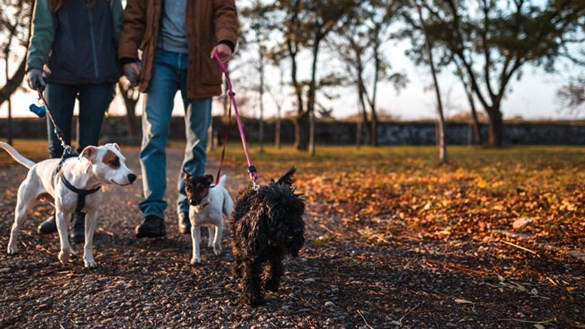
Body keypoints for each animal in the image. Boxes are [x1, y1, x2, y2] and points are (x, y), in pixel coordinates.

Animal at [0, 141, 136, 266]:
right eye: (113, 162)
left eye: (124, 161)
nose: (133, 176)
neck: (85, 183)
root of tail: (35, 166)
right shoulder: (61, 213)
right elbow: (64, 242)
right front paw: (63, 256)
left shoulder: (92, 215)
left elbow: (87, 241)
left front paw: (88, 259)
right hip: (23, 209)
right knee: (15, 227)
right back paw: (12, 247)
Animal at [230, 167, 306, 304]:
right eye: (281, 214)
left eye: (298, 212)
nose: (297, 230)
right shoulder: (252, 255)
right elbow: (251, 274)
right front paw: (252, 296)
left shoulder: (276, 253)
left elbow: (276, 267)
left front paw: (271, 284)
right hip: (236, 240)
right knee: (237, 254)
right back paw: (237, 271)